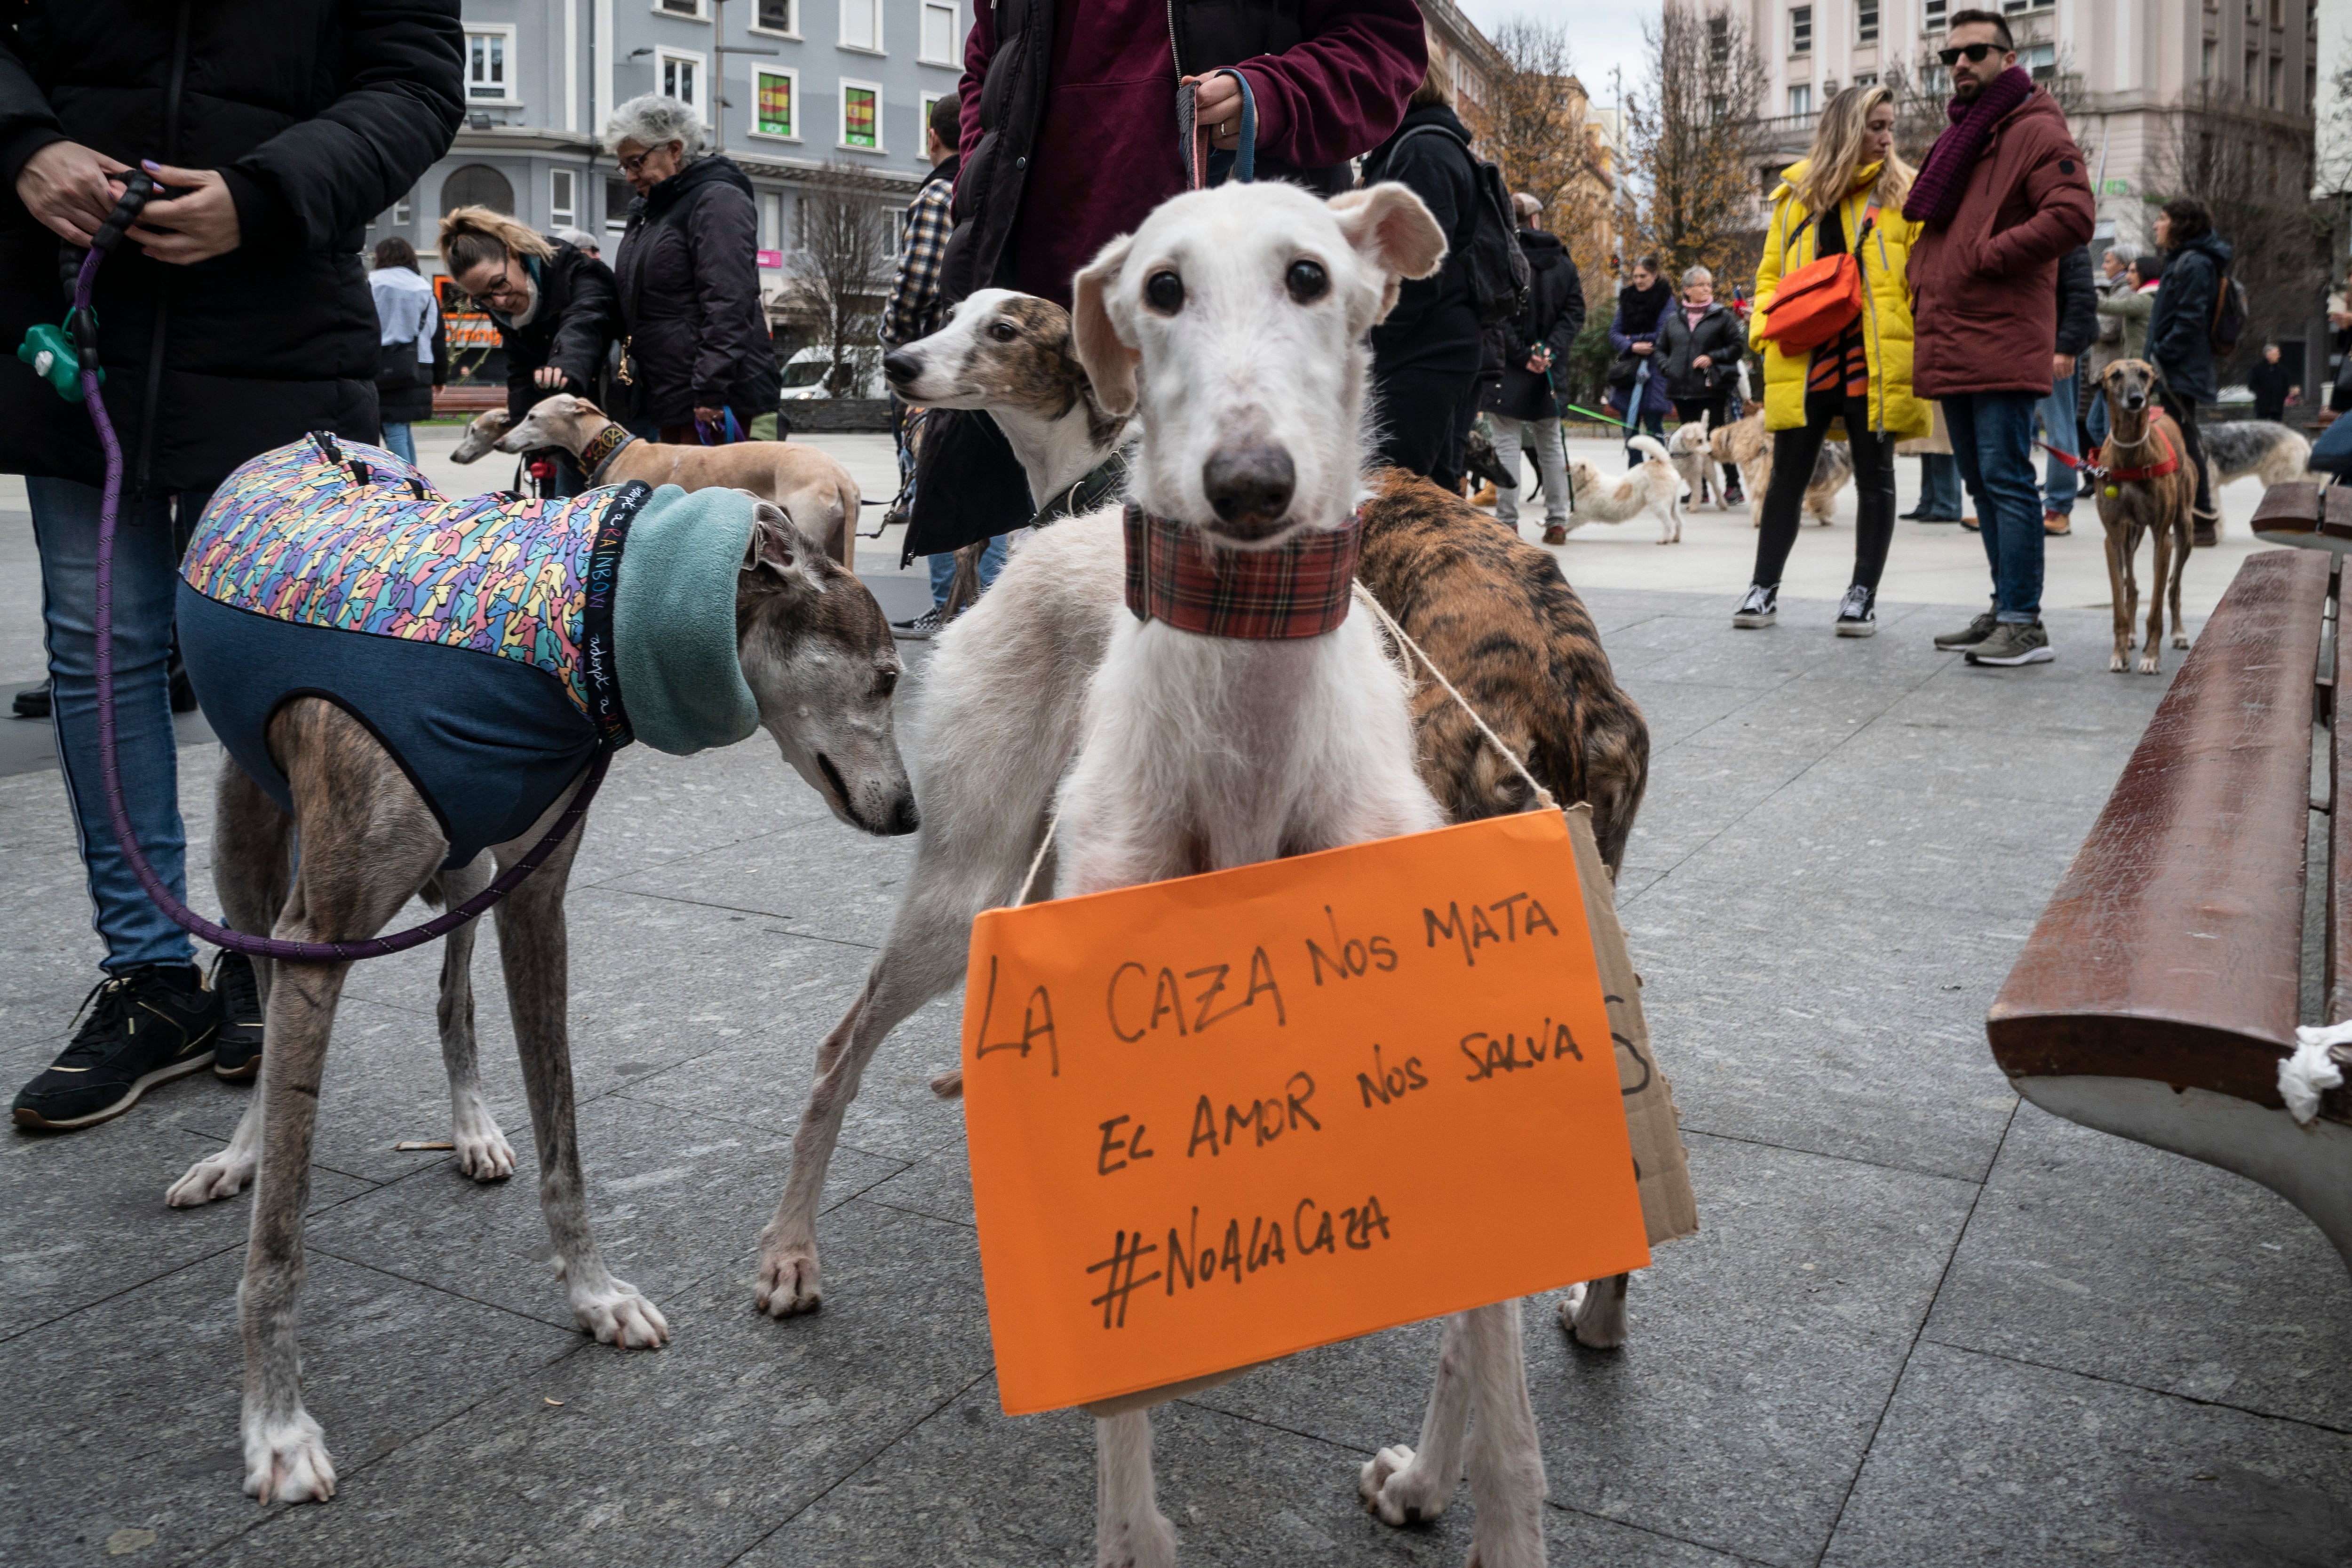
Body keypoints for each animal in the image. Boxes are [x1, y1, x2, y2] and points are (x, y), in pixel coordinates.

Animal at [161, 435, 913, 1504]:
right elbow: (280, 1241)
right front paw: (275, 1426)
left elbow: (565, 1146)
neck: (579, 620)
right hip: (248, 855)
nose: (912, 814)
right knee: (264, 995)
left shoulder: (534, 899)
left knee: (452, 997)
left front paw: (596, 1297)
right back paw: (241, 1152)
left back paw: (473, 1129)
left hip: (467, 871)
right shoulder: (322, 934)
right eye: (888, 678)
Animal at [1562, 435, 1693, 545]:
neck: (1589, 483)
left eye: (1569, 465)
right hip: (1673, 505)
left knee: (1669, 523)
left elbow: (1568, 523)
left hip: (1659, 505)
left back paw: (1664, 540)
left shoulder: (1581, 515)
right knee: (1678, 522)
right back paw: (1676, 538)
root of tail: (1661, 462)